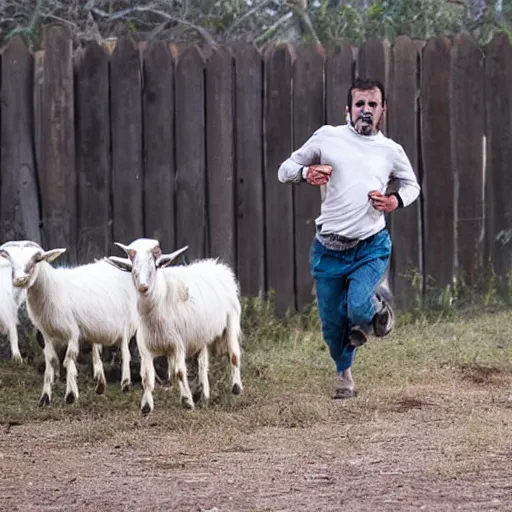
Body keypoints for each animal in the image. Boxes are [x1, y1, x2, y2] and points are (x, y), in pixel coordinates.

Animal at [0, 240, 139, 404]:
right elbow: (51, 361)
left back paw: (125, 383)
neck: (52, 287)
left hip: (127, 323)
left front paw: (71, 394)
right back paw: (100, 383)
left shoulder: (72, 331)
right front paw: (45, 397)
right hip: (94, 327)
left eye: (36, 259)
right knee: (96, 351)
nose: (20, 280)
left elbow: (68, 359)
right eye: (11, 261)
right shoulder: (47, 333)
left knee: (125, 351)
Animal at [106, 238, 244, 414]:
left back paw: (236, 387)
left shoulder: (178, 344)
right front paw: (146, 406)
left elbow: (179, 372)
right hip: (202, 333)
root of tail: (217, 265)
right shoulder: (145, 347)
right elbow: (147, 377)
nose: (143, 286)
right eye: (133, 269)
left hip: (231, 320)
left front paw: (187, 402)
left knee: (234, 354)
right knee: (203, 363)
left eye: (154, 266)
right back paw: (203, 393)